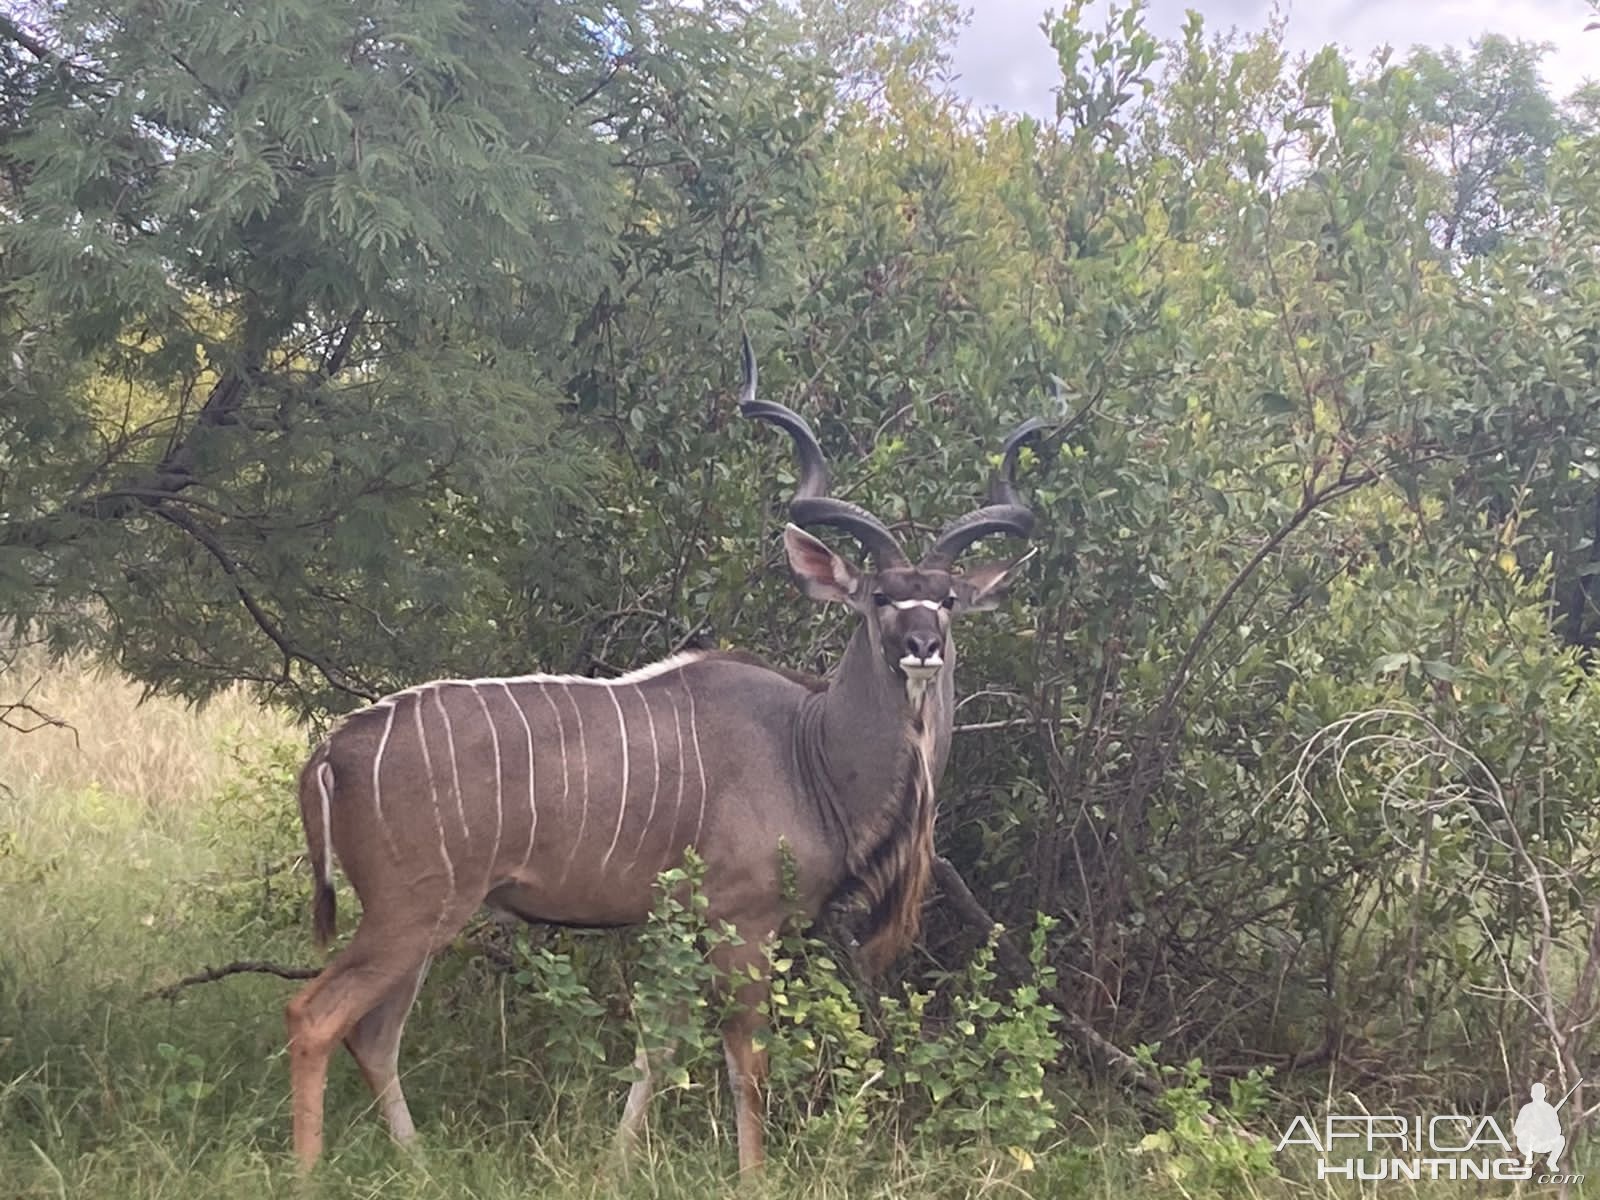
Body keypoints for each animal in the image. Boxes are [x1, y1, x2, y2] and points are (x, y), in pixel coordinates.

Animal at [286, 339, 1036, 1177]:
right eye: (878, 596)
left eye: (947, 599)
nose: (922, 646)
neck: (808, 747)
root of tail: (333, 750)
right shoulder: (744, 922)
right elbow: (746, 1060)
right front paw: (753, 1178)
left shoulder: (683, 924)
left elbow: (656, 1049)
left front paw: (614, 1164)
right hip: (412, 912)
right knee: (314, 1016)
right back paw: (307, 1172)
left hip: (424, 920)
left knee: (373, 1033)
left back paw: (419, 1164)